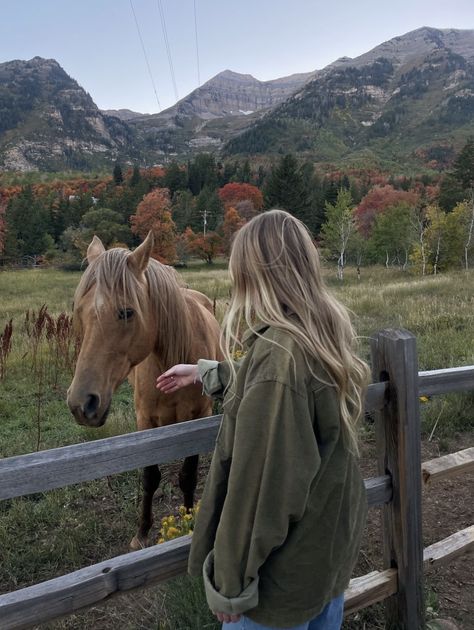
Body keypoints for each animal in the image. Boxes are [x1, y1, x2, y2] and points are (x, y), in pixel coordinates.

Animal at [66, 233, 222, 552]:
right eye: (79, 311)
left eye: (127, 312)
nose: (81, 404)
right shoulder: (145, 420)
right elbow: (150, 477)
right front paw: (142, 533)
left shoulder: (198, 417)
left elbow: (188, 476)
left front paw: (189, 522)